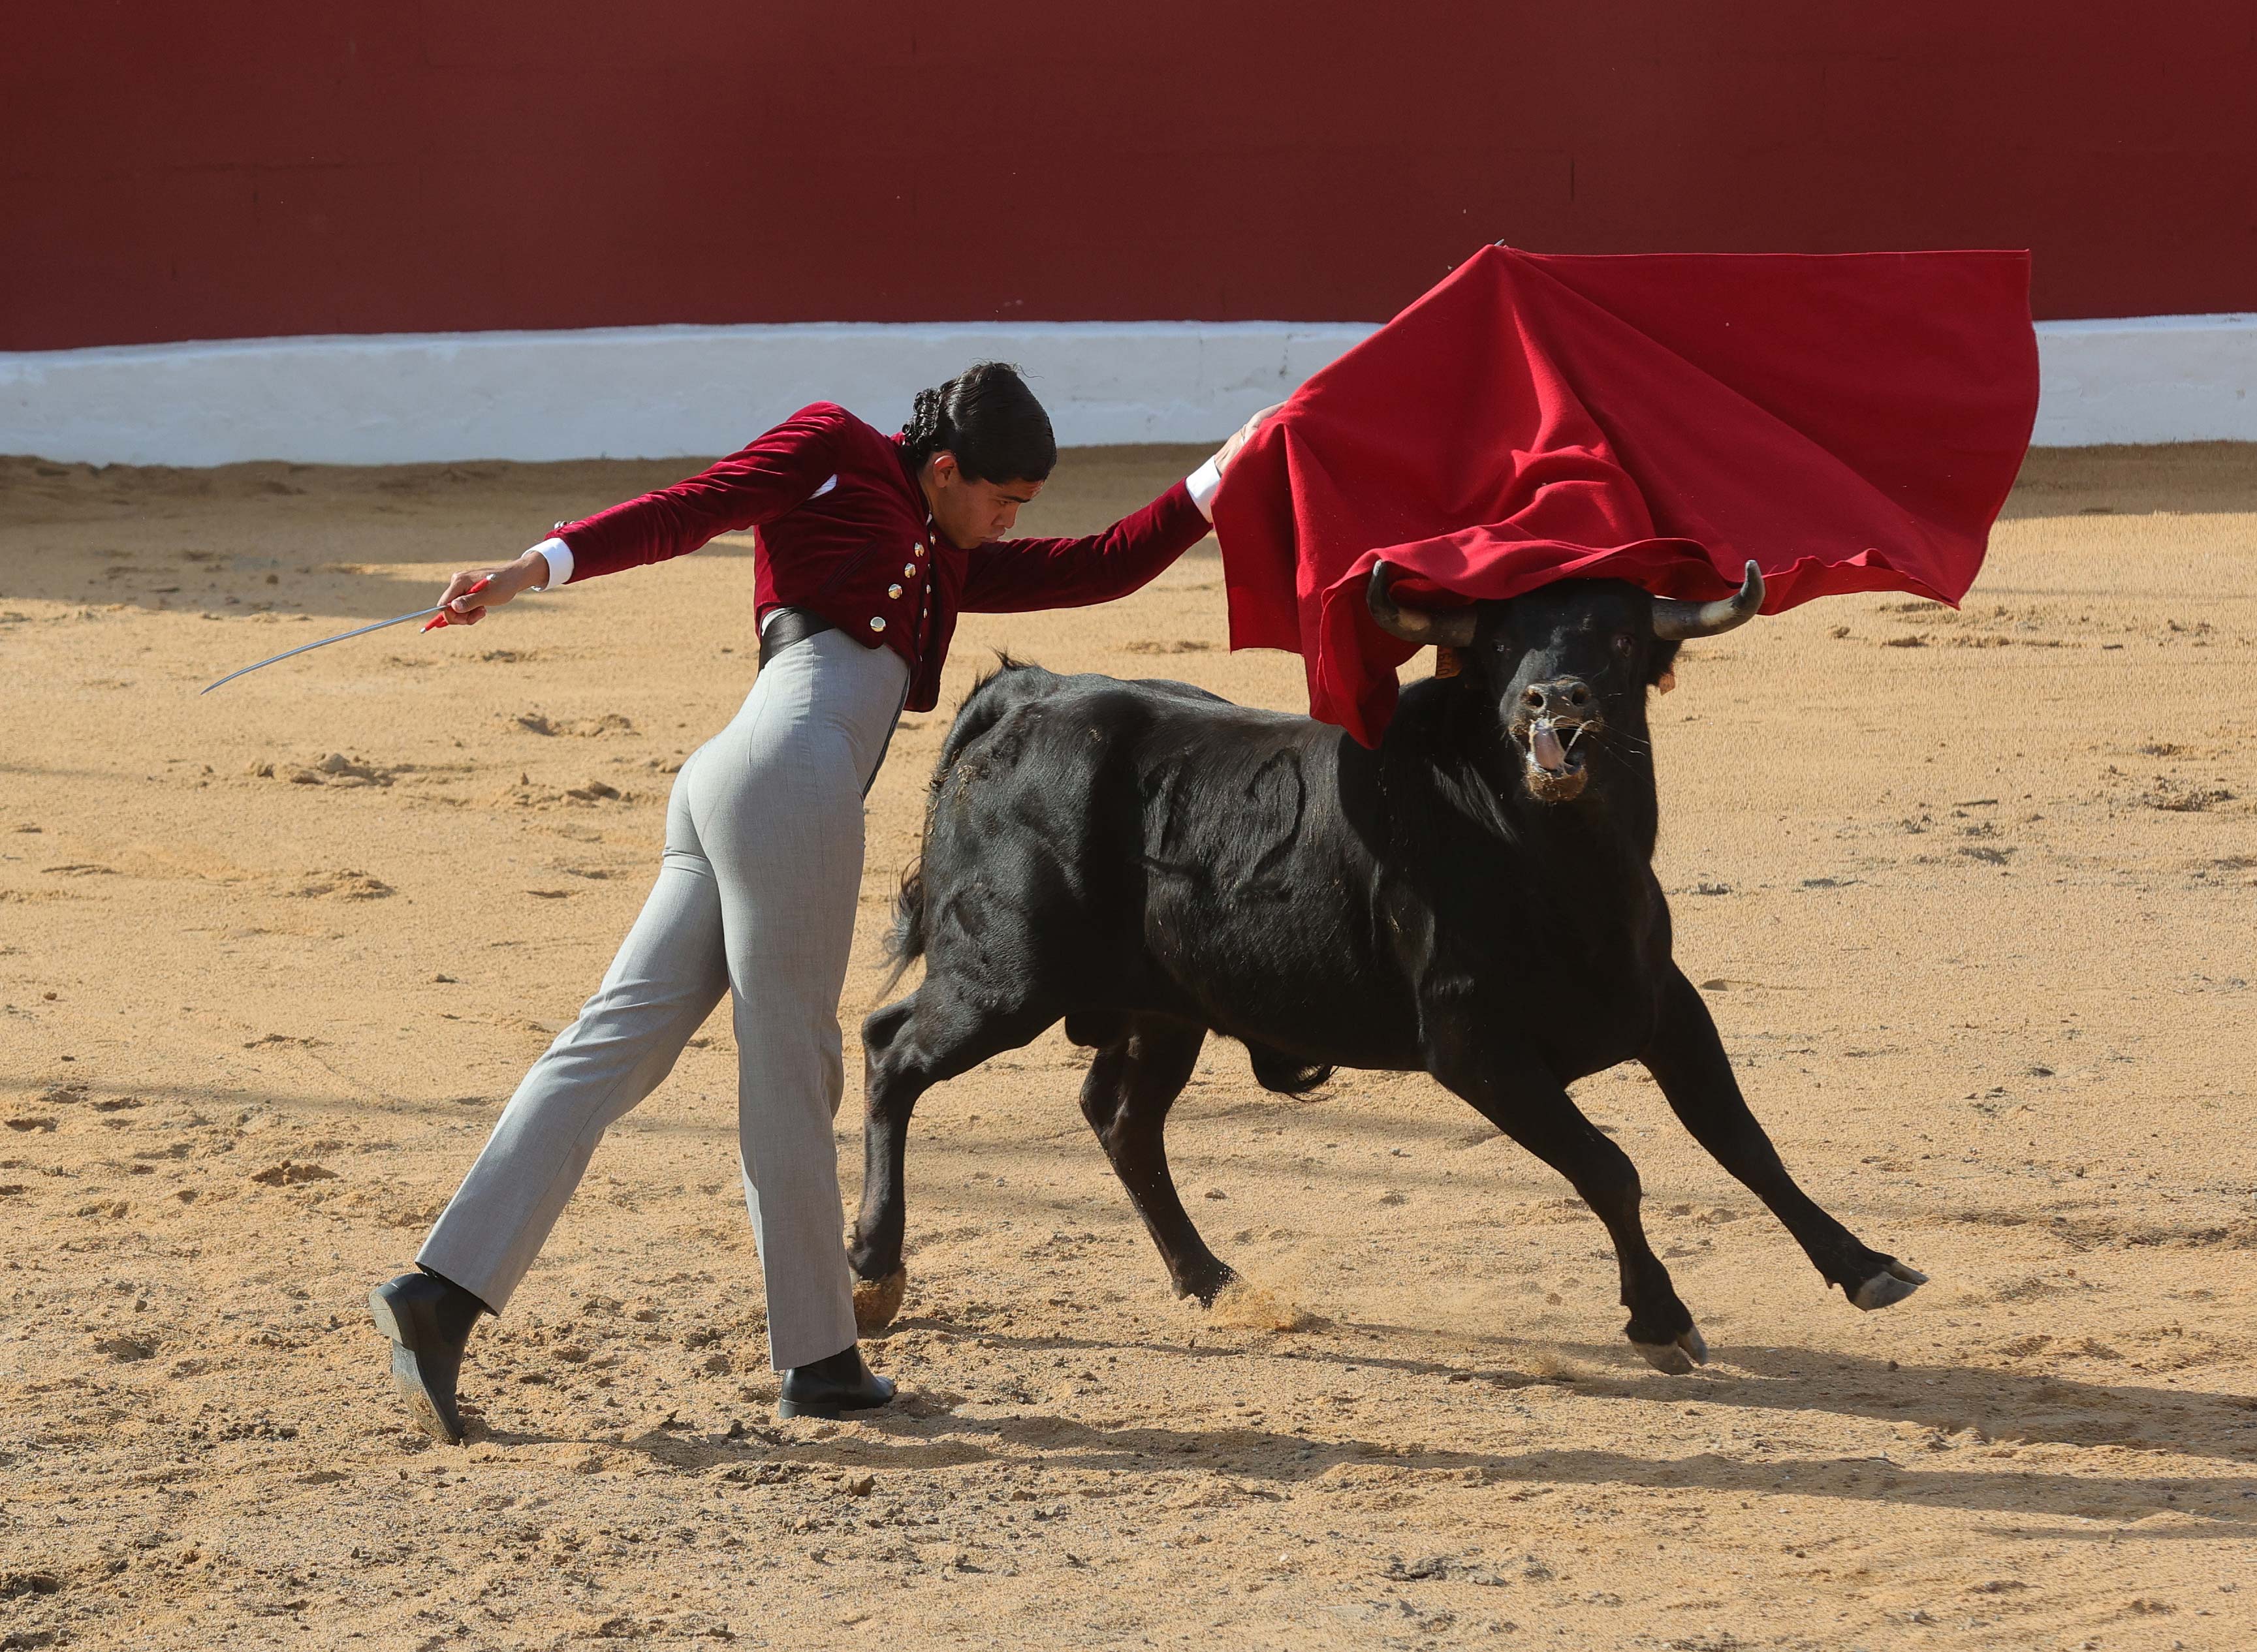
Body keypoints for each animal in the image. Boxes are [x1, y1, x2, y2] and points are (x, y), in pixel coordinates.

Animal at [848, 569, 1923, 1372]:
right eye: (1499, 648)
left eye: (1618, 641)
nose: (1554, 700)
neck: (1555, 866)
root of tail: (1026, 695)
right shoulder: (1474, 1046)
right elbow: (1610, 1167)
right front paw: (1659, 1318)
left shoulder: (1665, 1006)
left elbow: (1744, 1140)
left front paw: (1866, 1264)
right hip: (1003, 980)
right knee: (892, 1051)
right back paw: (873, 1267)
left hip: (1167, 1008)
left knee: (1119, 1114)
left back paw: (1212, 1280)